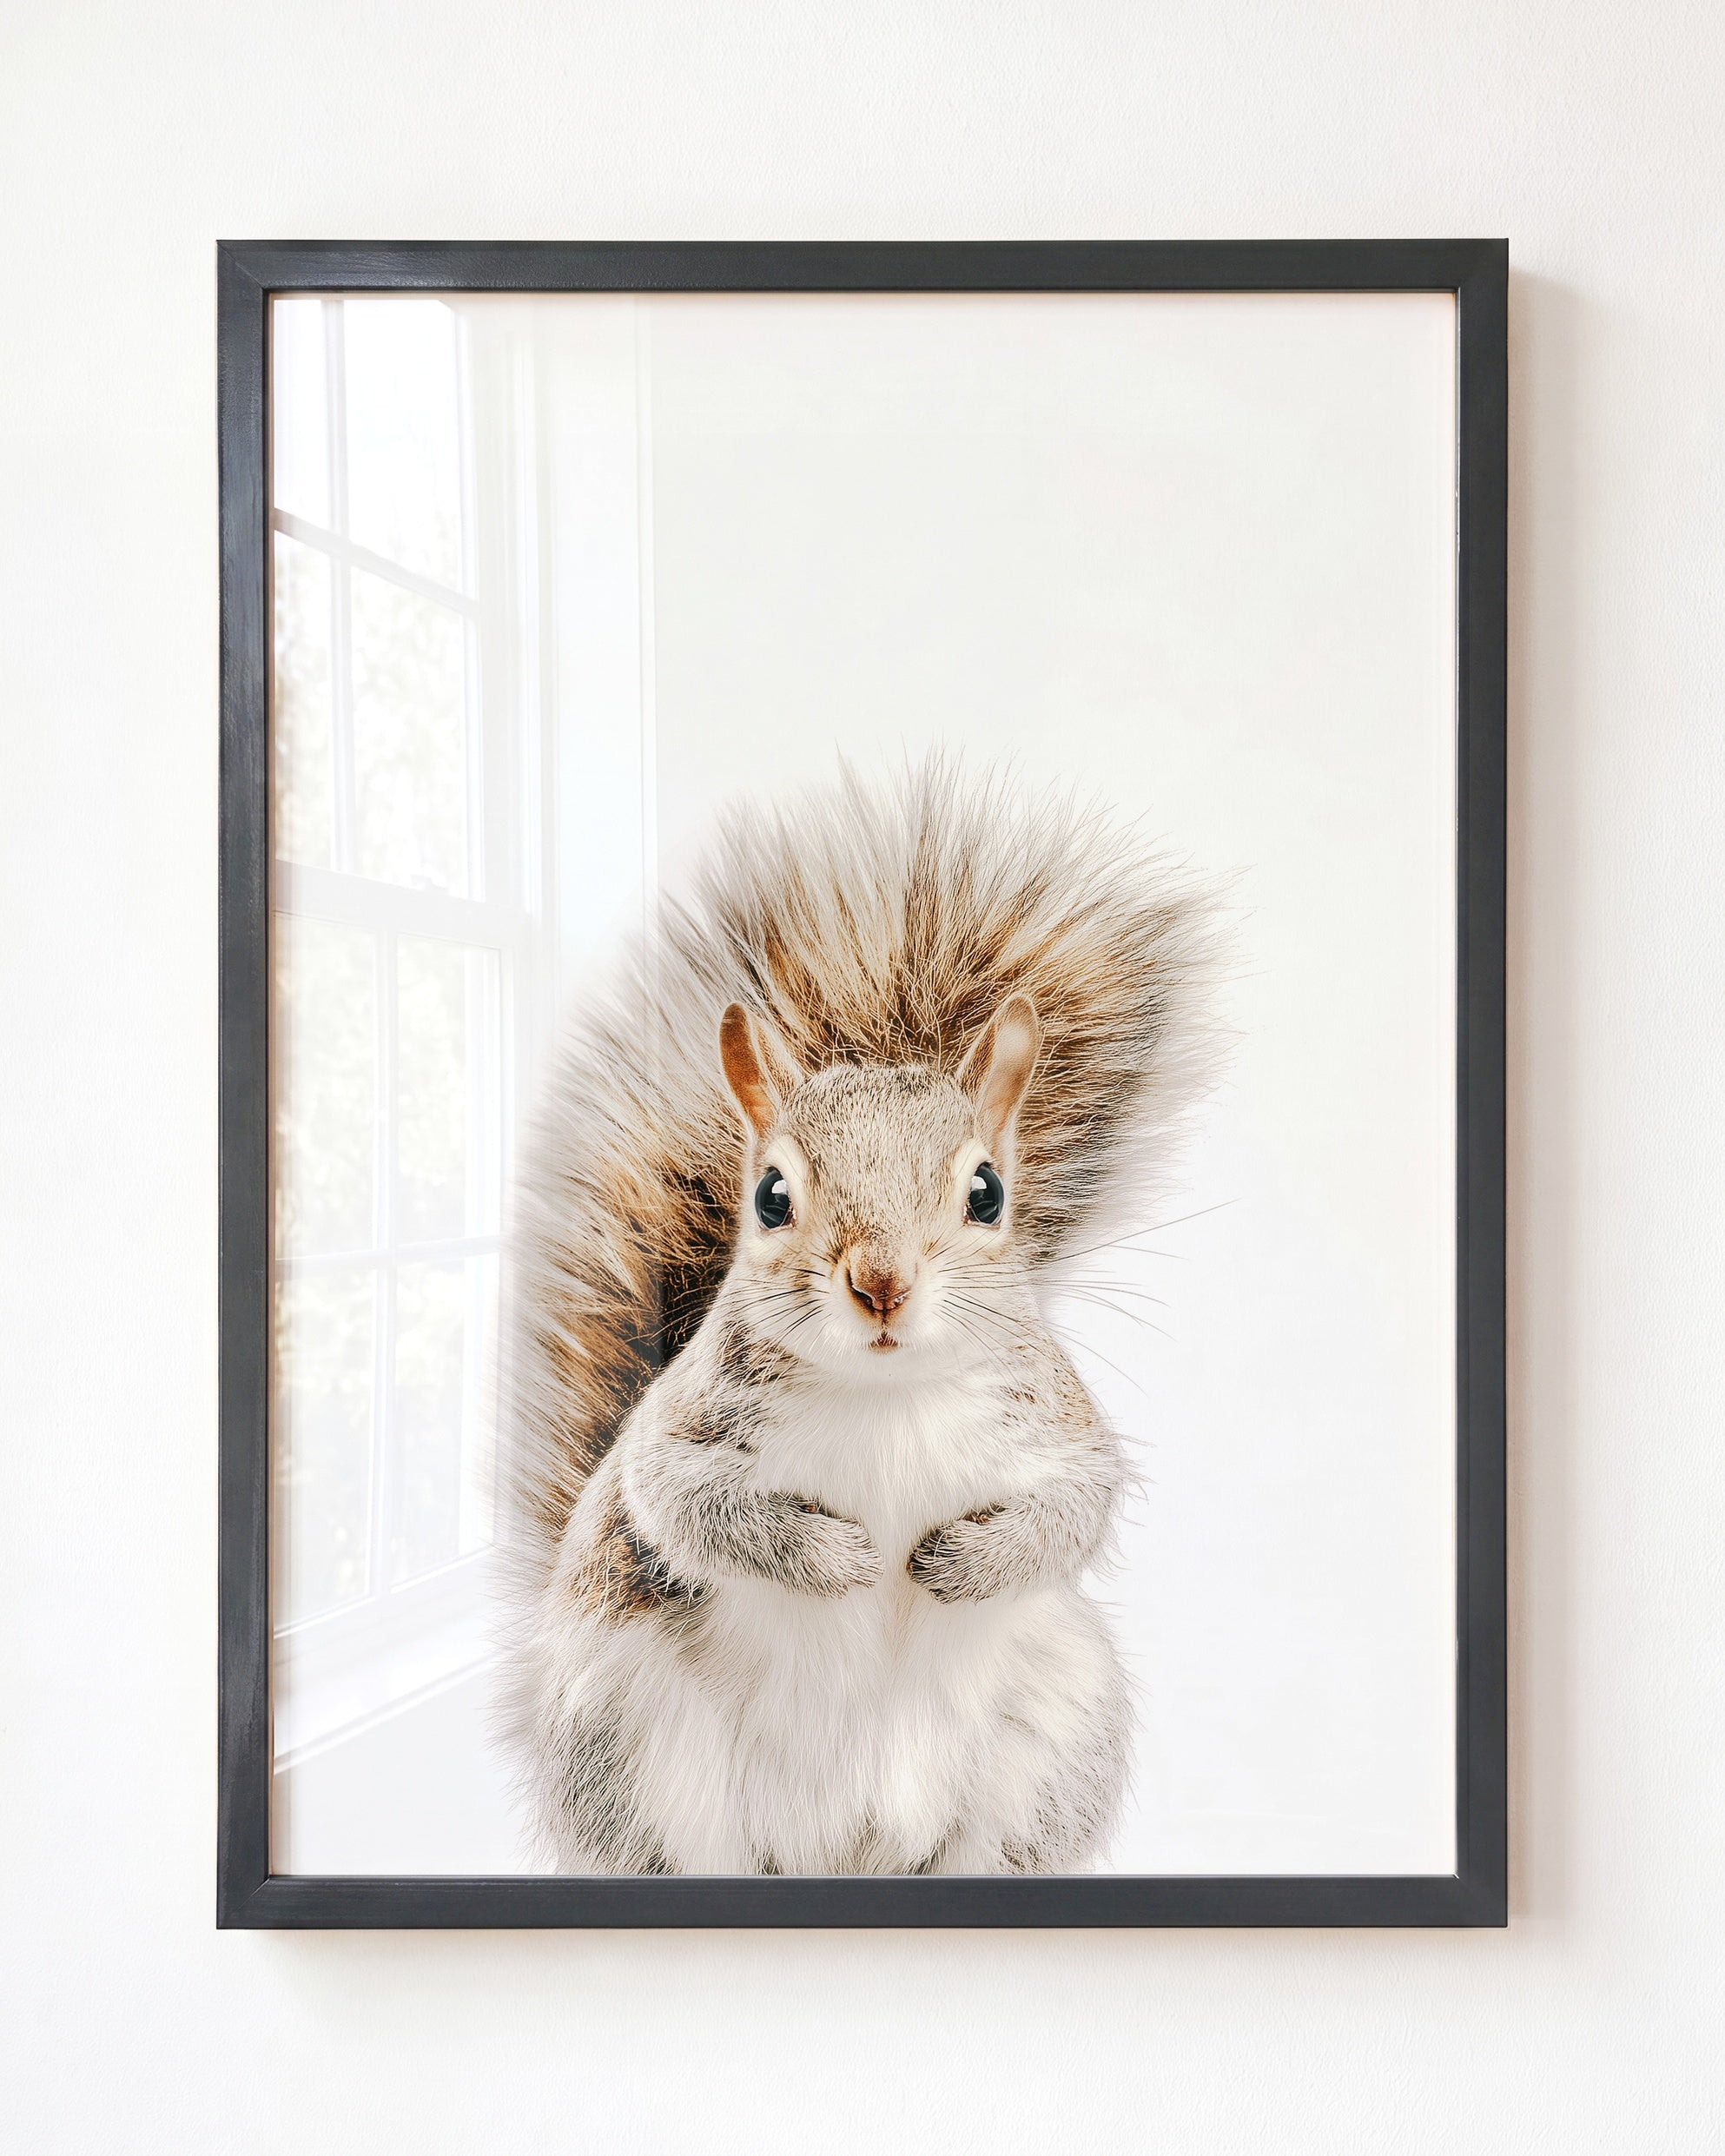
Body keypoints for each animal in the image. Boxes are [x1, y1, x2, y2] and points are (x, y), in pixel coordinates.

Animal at [495, 758, 1220, 1875]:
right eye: (770, 1197)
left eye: (987, 1193)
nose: (881, 1282)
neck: (887, 1394)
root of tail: (849, 1849)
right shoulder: (676, 1435)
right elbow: (688, 1506)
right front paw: (836, 1558)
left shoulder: (1060, 1428)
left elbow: (1075, 1508)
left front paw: (961, 1562)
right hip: (630, 1746)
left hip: (1053, 1738)